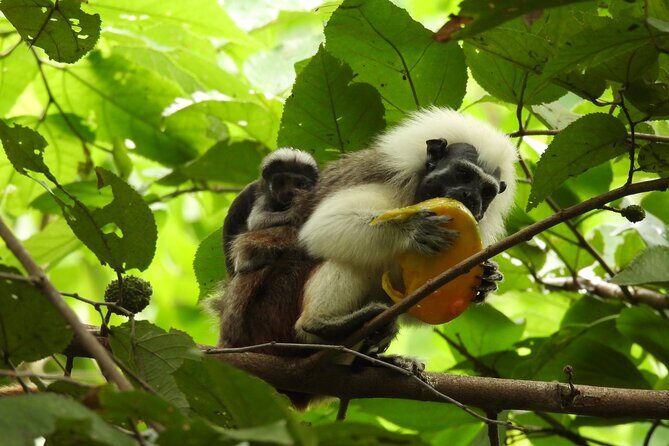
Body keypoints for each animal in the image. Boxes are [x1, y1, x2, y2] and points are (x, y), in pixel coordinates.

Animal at [294, 107, 517, 355]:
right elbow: (325, 224)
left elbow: (417, 300)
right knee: (348, 257)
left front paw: (487, 279)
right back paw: (322, 324)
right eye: (463, 174)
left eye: (486, 192)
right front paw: (414, 230)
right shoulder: (388, 184)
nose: (472, 198)